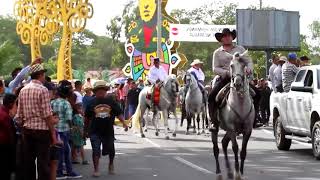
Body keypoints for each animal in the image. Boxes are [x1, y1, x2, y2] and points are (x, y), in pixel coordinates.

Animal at [210, 51, 255, 180]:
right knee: (216, 149)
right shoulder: (231, 128)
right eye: (231, 65)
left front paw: (241, 173)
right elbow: (235, 149)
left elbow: (243, 151)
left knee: (224, 143)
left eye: (244, 65)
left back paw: (229, 172)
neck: (240, 104)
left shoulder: (247, 130)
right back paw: (219, 173)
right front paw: (237, 174)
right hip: (216, 129)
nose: (237, 83)